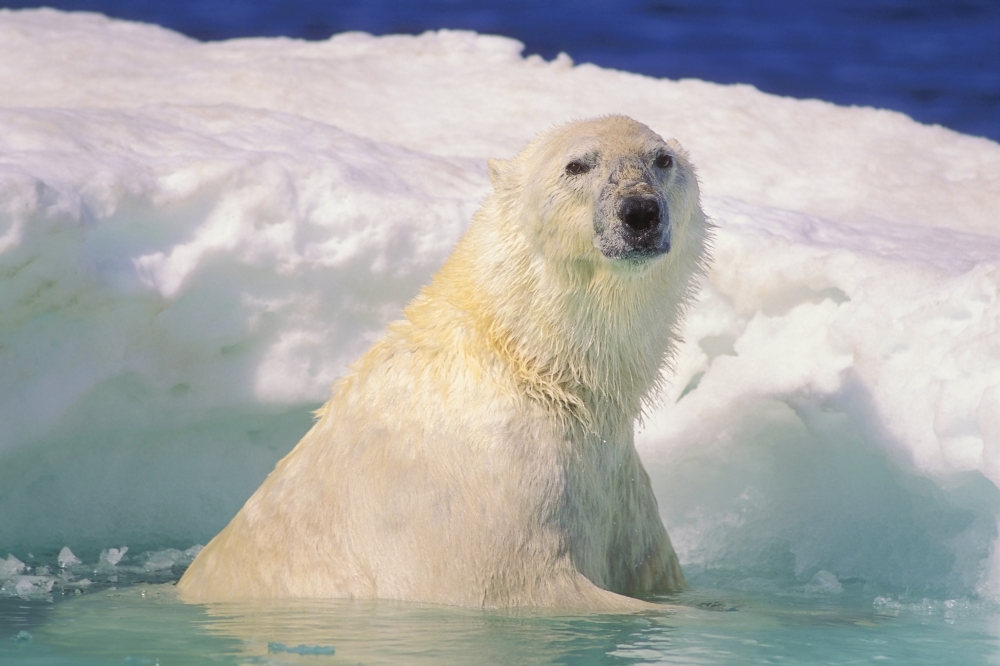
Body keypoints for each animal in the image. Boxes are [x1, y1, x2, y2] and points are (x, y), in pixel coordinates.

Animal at [178, 116, 712, 610]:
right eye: (577, 164)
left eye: (662, 159)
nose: (640, 211)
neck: (533, 363)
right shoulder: (483, 488)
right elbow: (521, 585)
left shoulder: (617, 489)